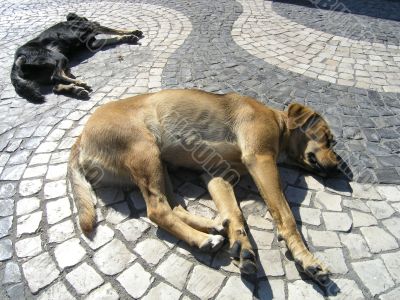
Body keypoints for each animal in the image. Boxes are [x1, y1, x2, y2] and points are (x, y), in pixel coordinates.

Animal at [9, 13, 144, 103]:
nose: (96, 21)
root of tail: (16, 63)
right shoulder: (93, 27)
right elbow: (115, 30)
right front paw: (131, 31)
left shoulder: (92, 43)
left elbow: (112, 38)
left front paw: (128, 37)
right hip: (58, 57)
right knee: (56, 76)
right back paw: (78, 83)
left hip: (52, 71)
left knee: (56, 87)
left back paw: (76, 90)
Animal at [68, 89, 338, 284]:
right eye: (328, 139)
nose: (338, 166)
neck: (279, 122)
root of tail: (80, 137)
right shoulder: (260, 159)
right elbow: (285, 215)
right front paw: (306, 259)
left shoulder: (216, 175)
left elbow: (235, 213)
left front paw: (241, 245)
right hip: (145, 150)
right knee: (157, 210)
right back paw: (203, 239)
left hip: (161, 166)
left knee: (175, 207)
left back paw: (213, 226)